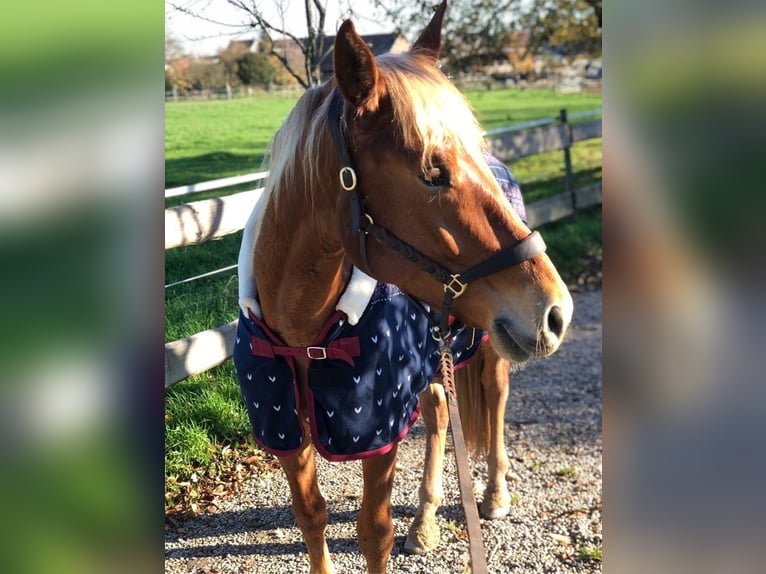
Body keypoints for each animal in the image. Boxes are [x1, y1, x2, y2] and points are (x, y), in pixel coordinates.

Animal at [236, 2, 576, 572]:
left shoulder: (377, 431)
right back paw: (426, 519)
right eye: (433, 172)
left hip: (492, 348)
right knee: (439, 414)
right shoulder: (285, 430)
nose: (557, 312)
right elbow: (310, 515)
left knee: (495, 398)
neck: (304, 329)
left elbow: (374, 534)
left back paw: (493, 494)